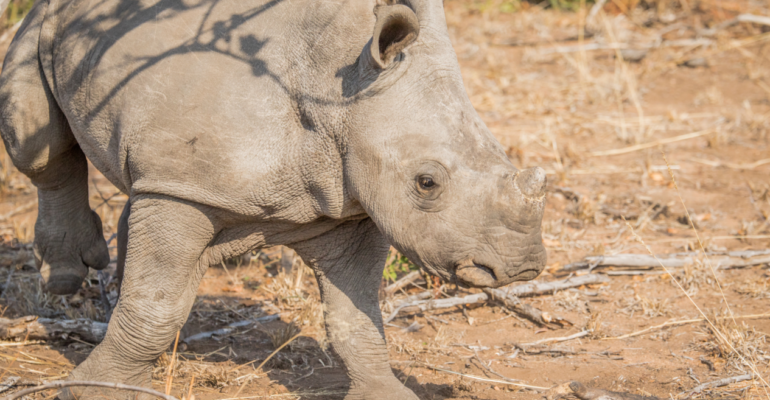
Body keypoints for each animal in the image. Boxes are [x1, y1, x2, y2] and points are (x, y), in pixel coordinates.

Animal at [0, 0, 544, 396]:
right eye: (426, 183)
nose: (522, 268)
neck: (342, 93)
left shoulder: (353, 203)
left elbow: (356, 315)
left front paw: (386, 393)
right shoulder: (185, 191)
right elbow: (155, 304)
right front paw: (96, 392)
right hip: (42, 21)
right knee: (38, 145)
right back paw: (66, 280)